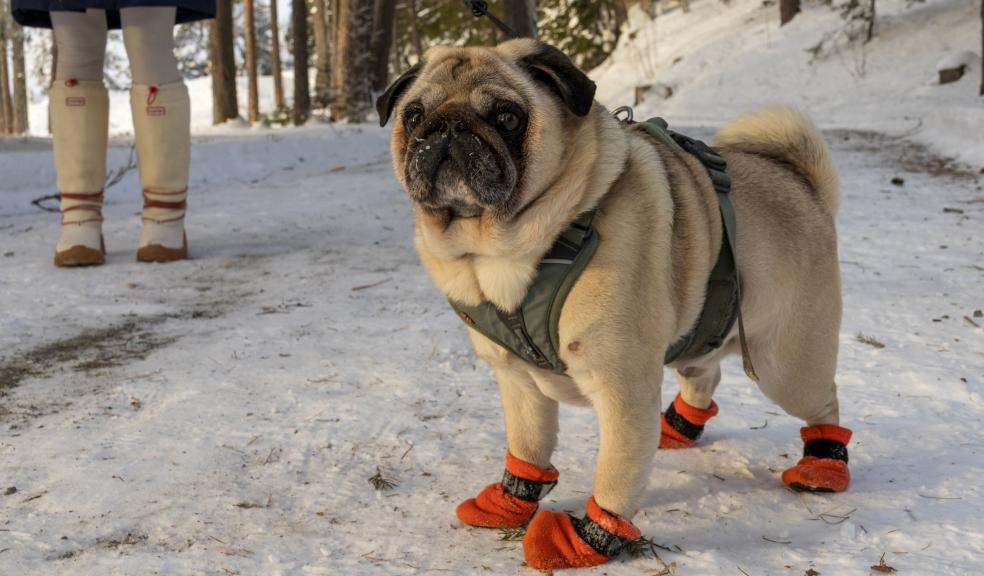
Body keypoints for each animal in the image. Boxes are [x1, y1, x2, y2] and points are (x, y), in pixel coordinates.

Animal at [372, 38, 848, 568]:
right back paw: (676, 428)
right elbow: (527, 445)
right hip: (703, 338)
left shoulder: (621, 388)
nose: (448, 127)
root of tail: (804, 185)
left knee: (823, 403)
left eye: (507, 117)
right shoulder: (518, 381)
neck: (502, 252)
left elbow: (616, 475)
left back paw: (823, 468)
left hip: (786, 364)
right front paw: (511, 500)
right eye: (414, 116)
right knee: (704, 376)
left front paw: (585, 539)